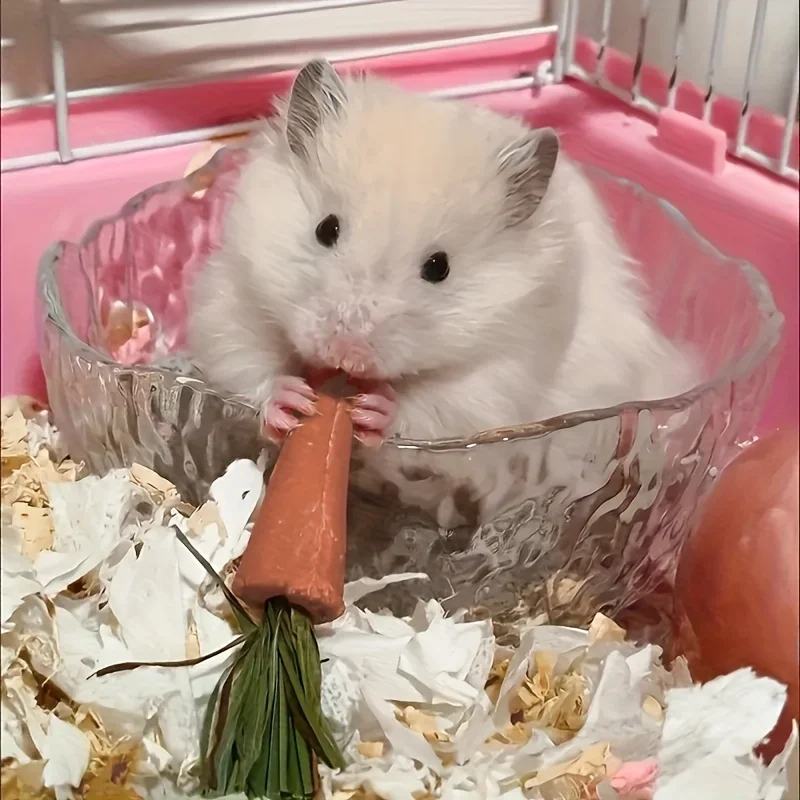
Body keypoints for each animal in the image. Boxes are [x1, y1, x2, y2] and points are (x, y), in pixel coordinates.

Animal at [188, 59, 695, 448]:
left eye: (439, 268)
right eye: (325, 229)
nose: (346, 353)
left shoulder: (507, 364)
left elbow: (444, 402)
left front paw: (376, 411)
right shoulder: (233, 290)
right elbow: (242, 354)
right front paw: (291, 401)